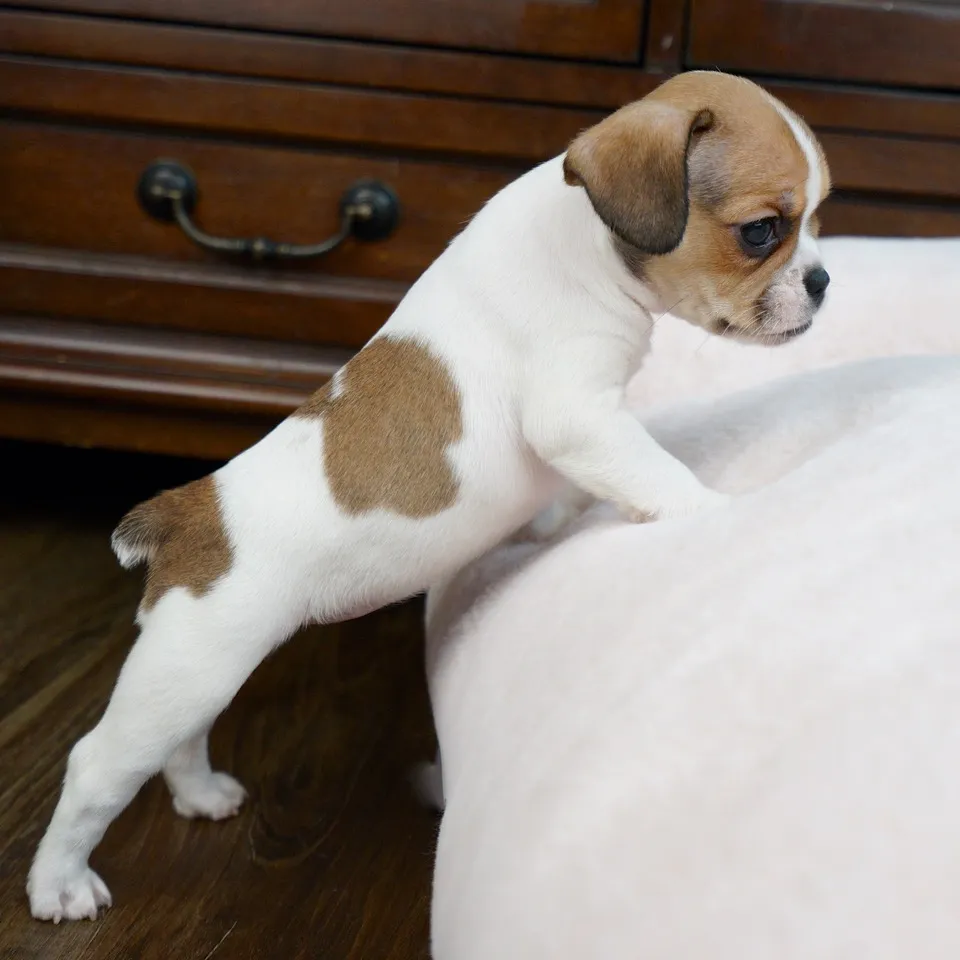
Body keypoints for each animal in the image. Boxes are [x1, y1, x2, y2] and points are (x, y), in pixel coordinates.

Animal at [28, 70, 831, 922]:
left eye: (817, 221)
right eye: (762, 231)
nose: (822, 280)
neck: (579, 237)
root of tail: (187, 512)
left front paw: (560, 520)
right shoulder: (579, 415)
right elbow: (655, 470)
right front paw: (720, 512)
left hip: (201, 664)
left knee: (182, 738)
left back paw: (200, 794)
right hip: (186, 667)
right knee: (95, 765)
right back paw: (59, 884)